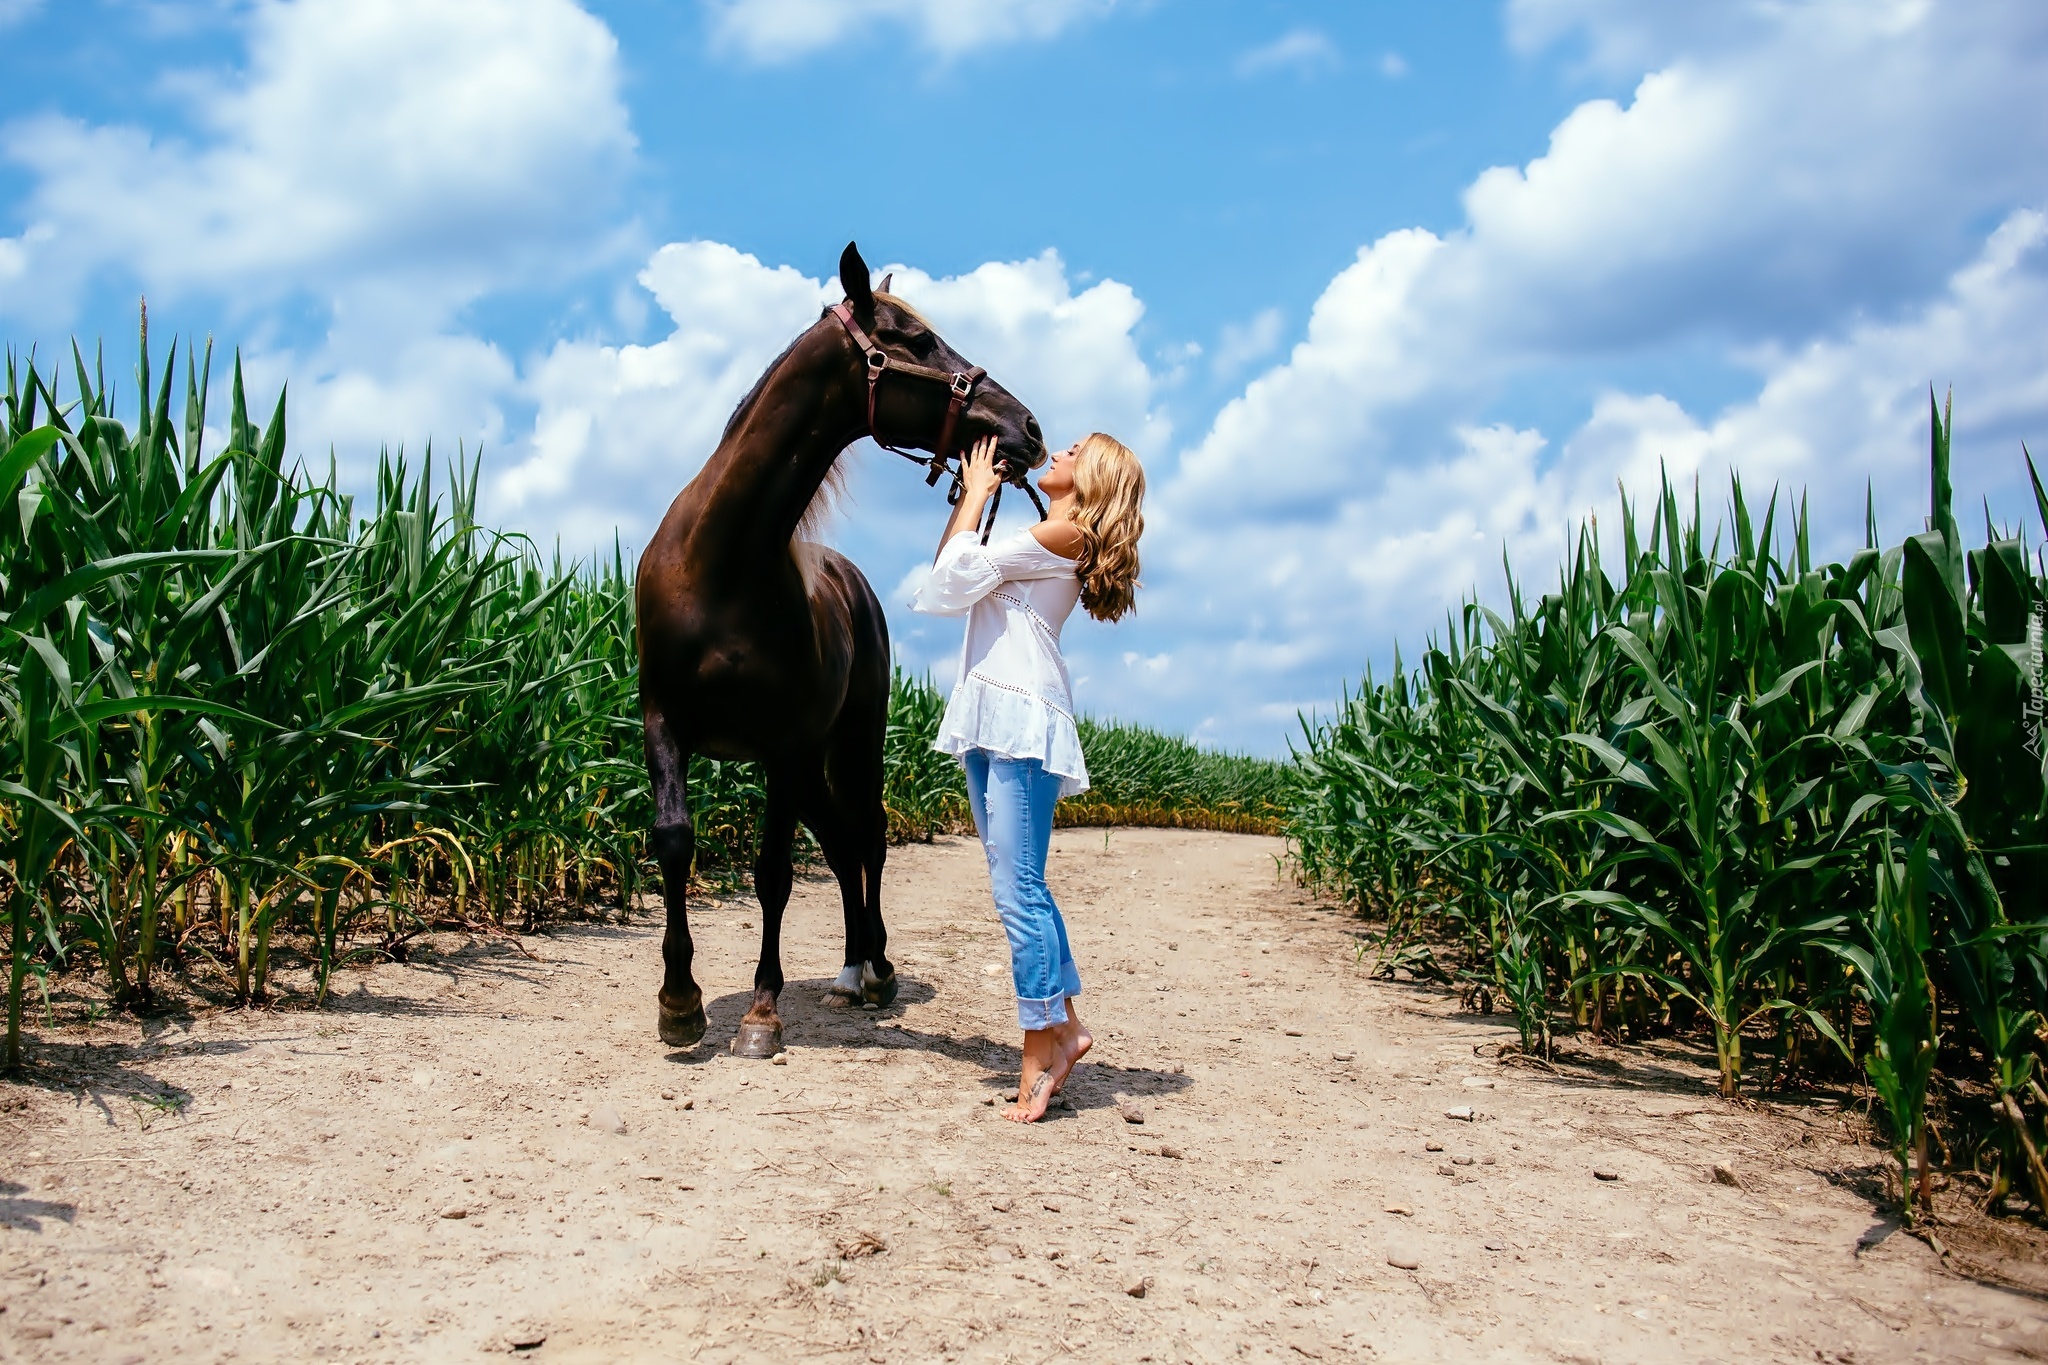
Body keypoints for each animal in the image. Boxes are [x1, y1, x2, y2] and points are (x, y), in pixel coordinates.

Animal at [634, 242, 1056, 1055]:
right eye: (917, 339)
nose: (1028, 426)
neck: (721, 563)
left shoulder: (783, 743)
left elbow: (772, 871)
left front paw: (762, 1013)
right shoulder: (663, 720)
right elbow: (674, 840)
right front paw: (678, 1001)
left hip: (851, 739)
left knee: (867, 833)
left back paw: (876, 969)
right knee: (839, 839)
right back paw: (852, 968)